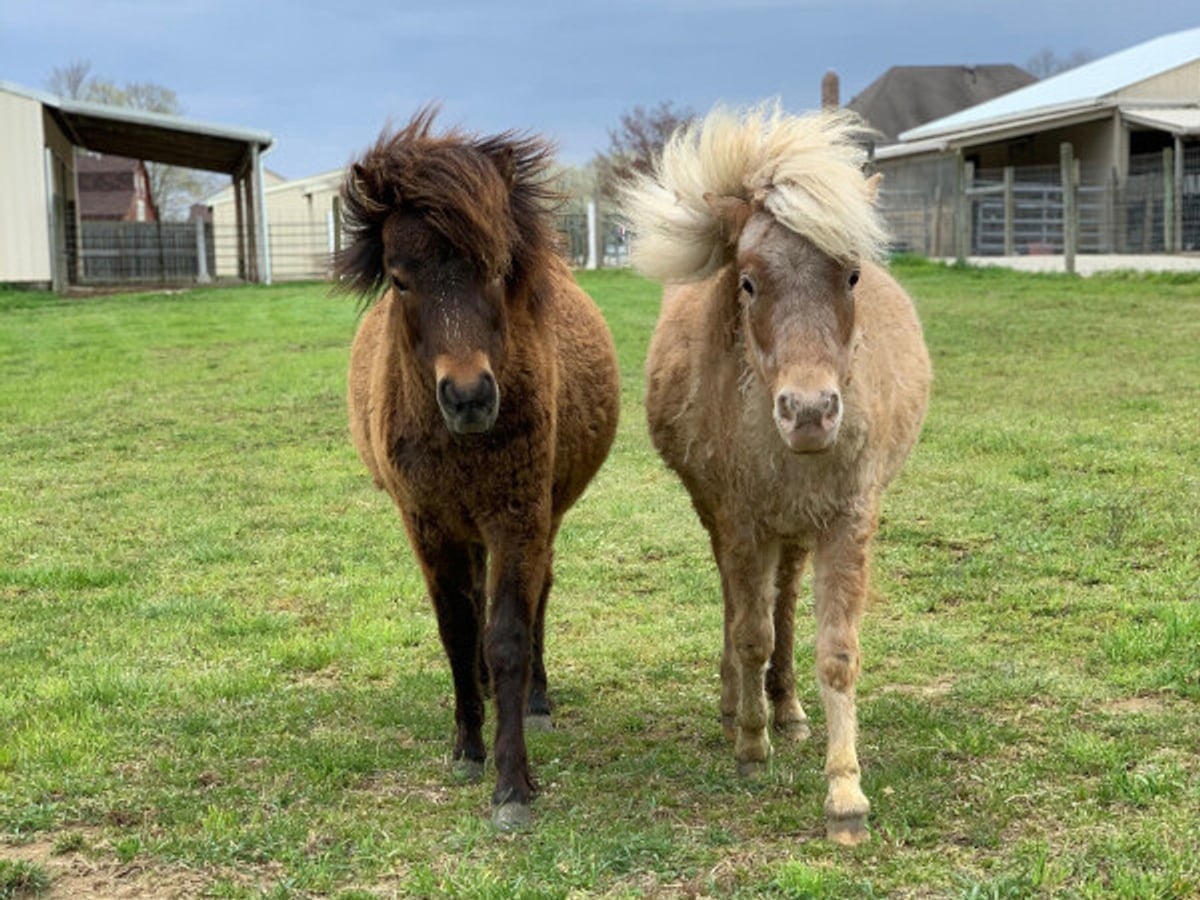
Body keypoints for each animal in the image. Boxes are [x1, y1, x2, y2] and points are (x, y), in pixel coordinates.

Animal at [336, 107, 620, 830]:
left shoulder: (518, 516)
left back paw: (534, 701)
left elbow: (509, 633)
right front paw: (468, 747)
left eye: (496, 269)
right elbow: (457, 629)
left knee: (541, 594)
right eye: (399, 277)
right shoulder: (428, 524)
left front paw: (513, 781)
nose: (468, 397)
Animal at [621, 102, 931, 844]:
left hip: (795, 534)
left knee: (786, 601)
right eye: (749, 281)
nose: (810, 412)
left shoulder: (847, 523)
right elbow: (749, 631)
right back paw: (739, 704)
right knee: (742, 609)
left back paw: (788, 707)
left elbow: (836, 652)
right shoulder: (740, 523)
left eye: (851, 276)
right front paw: (750, 746)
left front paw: (845, 793)